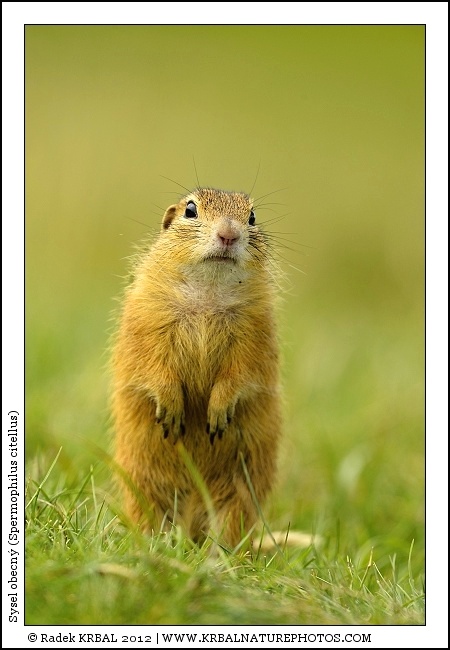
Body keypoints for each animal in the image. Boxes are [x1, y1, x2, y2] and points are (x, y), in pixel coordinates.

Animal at [111, 187, 282, 548]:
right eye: (190, 210)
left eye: (252, 217)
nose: (229, 234)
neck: (208, 294)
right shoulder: (147, 320)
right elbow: (153, 367)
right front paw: (172, 409)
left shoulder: (255, 333)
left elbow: (241, 374)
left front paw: (217, 413)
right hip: (144, 483)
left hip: (240, 490)